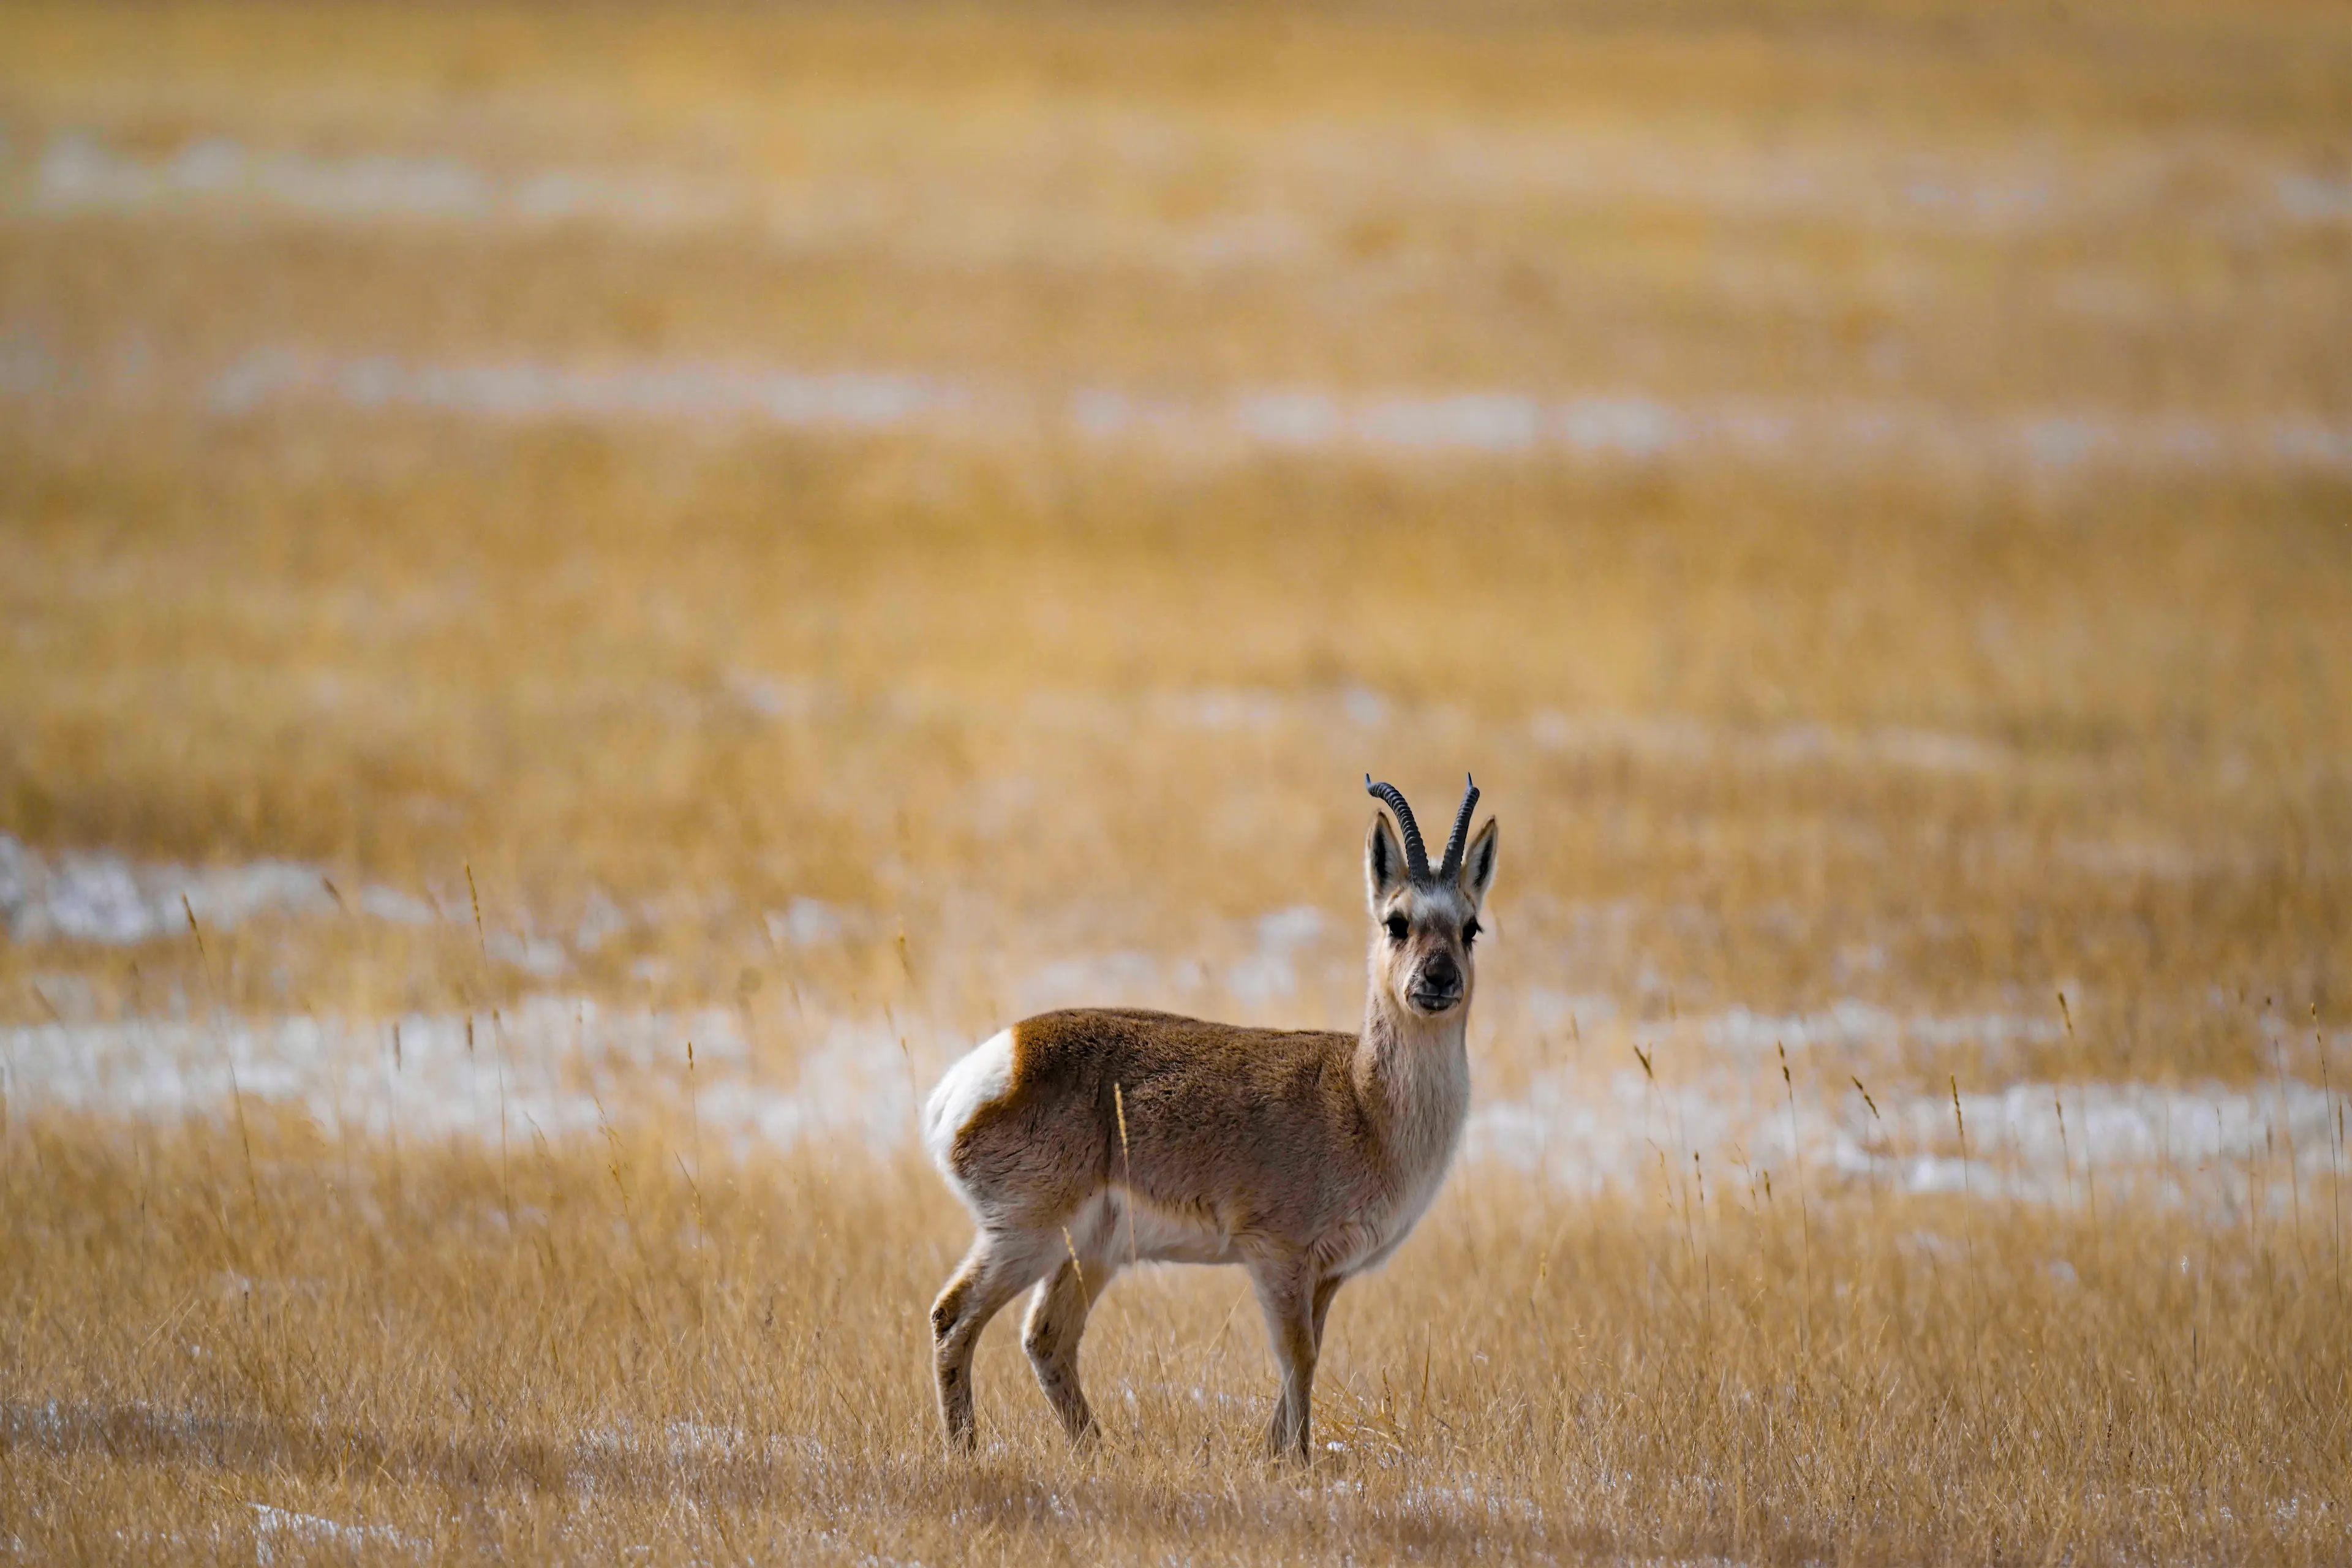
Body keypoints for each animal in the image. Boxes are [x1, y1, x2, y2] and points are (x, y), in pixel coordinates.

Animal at [922, 774, 1497, 1461]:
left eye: (1471, 927)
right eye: (1397, 921)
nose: (1438, 979)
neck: (1360, 1099)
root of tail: (998, 1060)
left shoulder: (1327, 1276)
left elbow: (1306, 1358)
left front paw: (1276, 1457)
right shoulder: (1277, 1257)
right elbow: (1298, 1358)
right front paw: (1298, 1464)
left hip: (1089, 1253)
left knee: (1046, 1338)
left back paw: (1099, 1452)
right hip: (1025, 1239)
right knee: (953, 1316)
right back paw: (966, 1452)